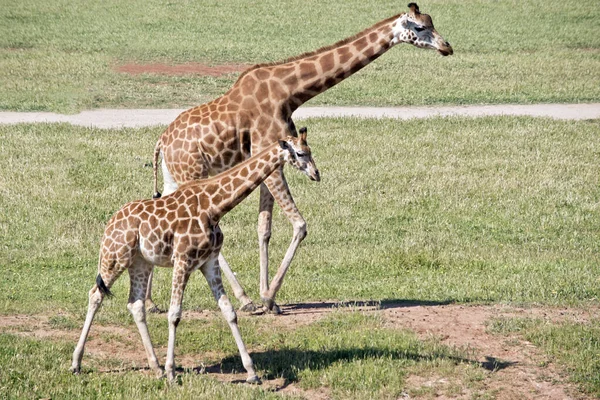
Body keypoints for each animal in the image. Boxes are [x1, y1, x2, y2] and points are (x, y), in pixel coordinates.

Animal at [70, 130, 318, 382]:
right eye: (300, 153)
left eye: (310, 151)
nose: (316, 174)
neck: (215, 207)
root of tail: (110, 223)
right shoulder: (183, 260)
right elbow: (174, 314)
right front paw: (172, 372)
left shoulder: (209, 262)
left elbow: (229, 312)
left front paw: (251, 372)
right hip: (115, 256)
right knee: (95, 294)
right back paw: (76, 363)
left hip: (141, 263)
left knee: (135, 305)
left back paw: (155, 367)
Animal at [148, 3, 452, 316]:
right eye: (419, 27)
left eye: (432, 23)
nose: (447, 47)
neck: (290, 93)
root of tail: (162, 142)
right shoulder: (275, 158)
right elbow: (299, 224)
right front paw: (268, 298)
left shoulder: (272, 161)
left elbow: (264, 228)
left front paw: (267, 296)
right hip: (193, 173)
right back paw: (243, 300)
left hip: (174, 179)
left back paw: (151, 302)